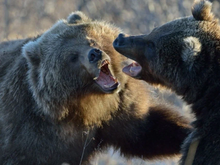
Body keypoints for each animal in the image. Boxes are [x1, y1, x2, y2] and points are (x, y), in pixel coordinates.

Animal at [0, 10, 192, 164]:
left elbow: (147, 132)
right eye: (72, 56)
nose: (95, 54)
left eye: (91, 40)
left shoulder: (119, 110)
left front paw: (187, 132)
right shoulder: (34, 131)